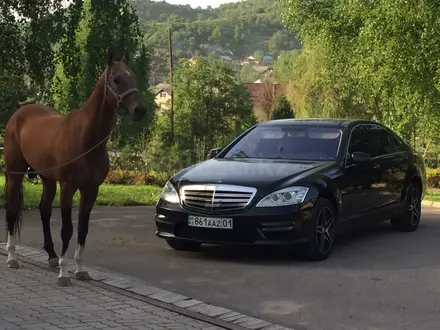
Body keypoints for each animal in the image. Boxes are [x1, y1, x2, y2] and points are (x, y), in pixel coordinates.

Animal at [3, 51, 146, 286]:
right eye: (116, 79)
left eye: (133, 76)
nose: (139, 110)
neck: (86, 138)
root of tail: (20, 112)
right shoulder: (68, 187)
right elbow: (67, 229)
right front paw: (64, 273)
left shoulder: (91, 189)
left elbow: (82, 229)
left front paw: (80, 270)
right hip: (16, 174)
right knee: (12, 210)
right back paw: (12, 257)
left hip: (47, 178)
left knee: (44, 210)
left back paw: (51, 256)